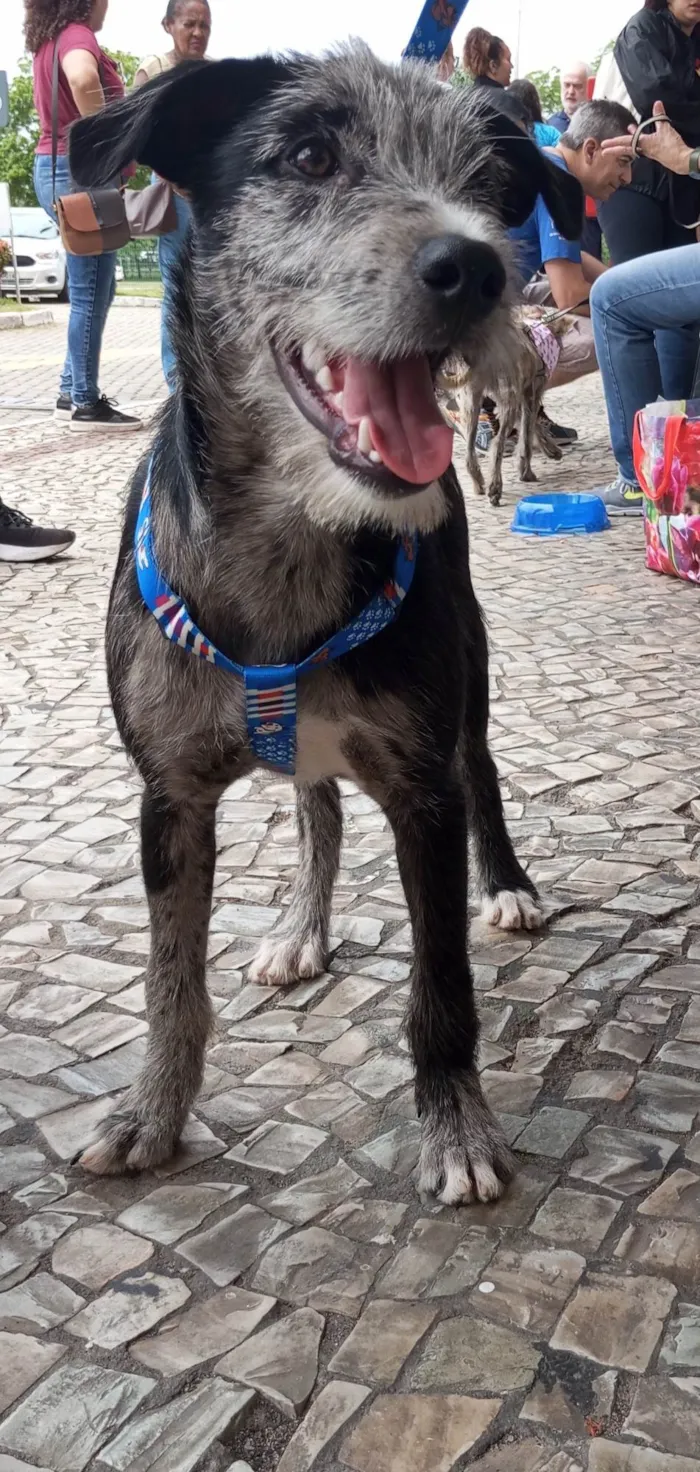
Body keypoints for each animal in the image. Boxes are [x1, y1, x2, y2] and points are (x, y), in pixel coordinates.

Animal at [441, 304, 576, 506]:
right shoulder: (530, 395)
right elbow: (527, 436)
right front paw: (526, 471)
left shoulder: (522, 398)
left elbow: (532, 428)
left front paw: (550, 449)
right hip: (506, 401)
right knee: (497, 444)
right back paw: (495, 488)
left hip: (470, 401)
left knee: (469, 452)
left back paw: (478, 483)